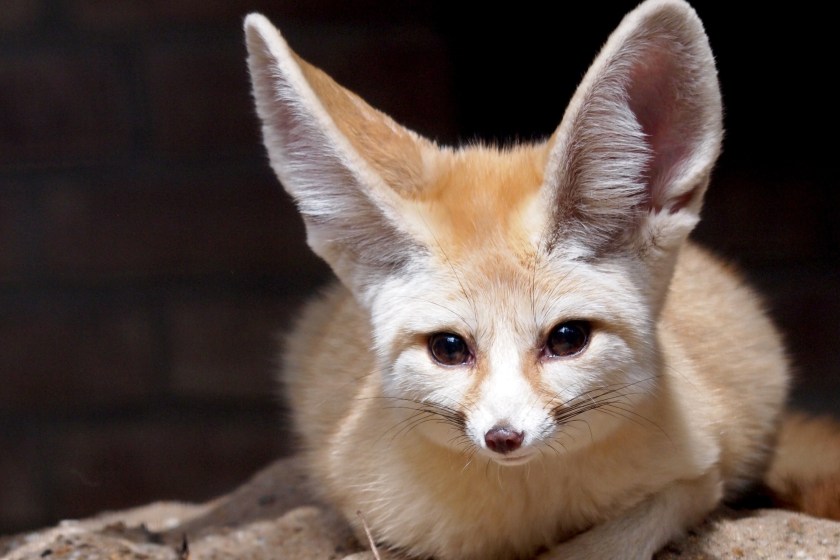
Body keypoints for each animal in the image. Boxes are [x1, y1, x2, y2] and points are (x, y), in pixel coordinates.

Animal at [244, 0, 839, 558]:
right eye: (448, 348)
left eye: (568, 339)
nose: (503, 437)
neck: (527, 517)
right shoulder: (362, 504)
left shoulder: (700, 474)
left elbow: (618, 536)